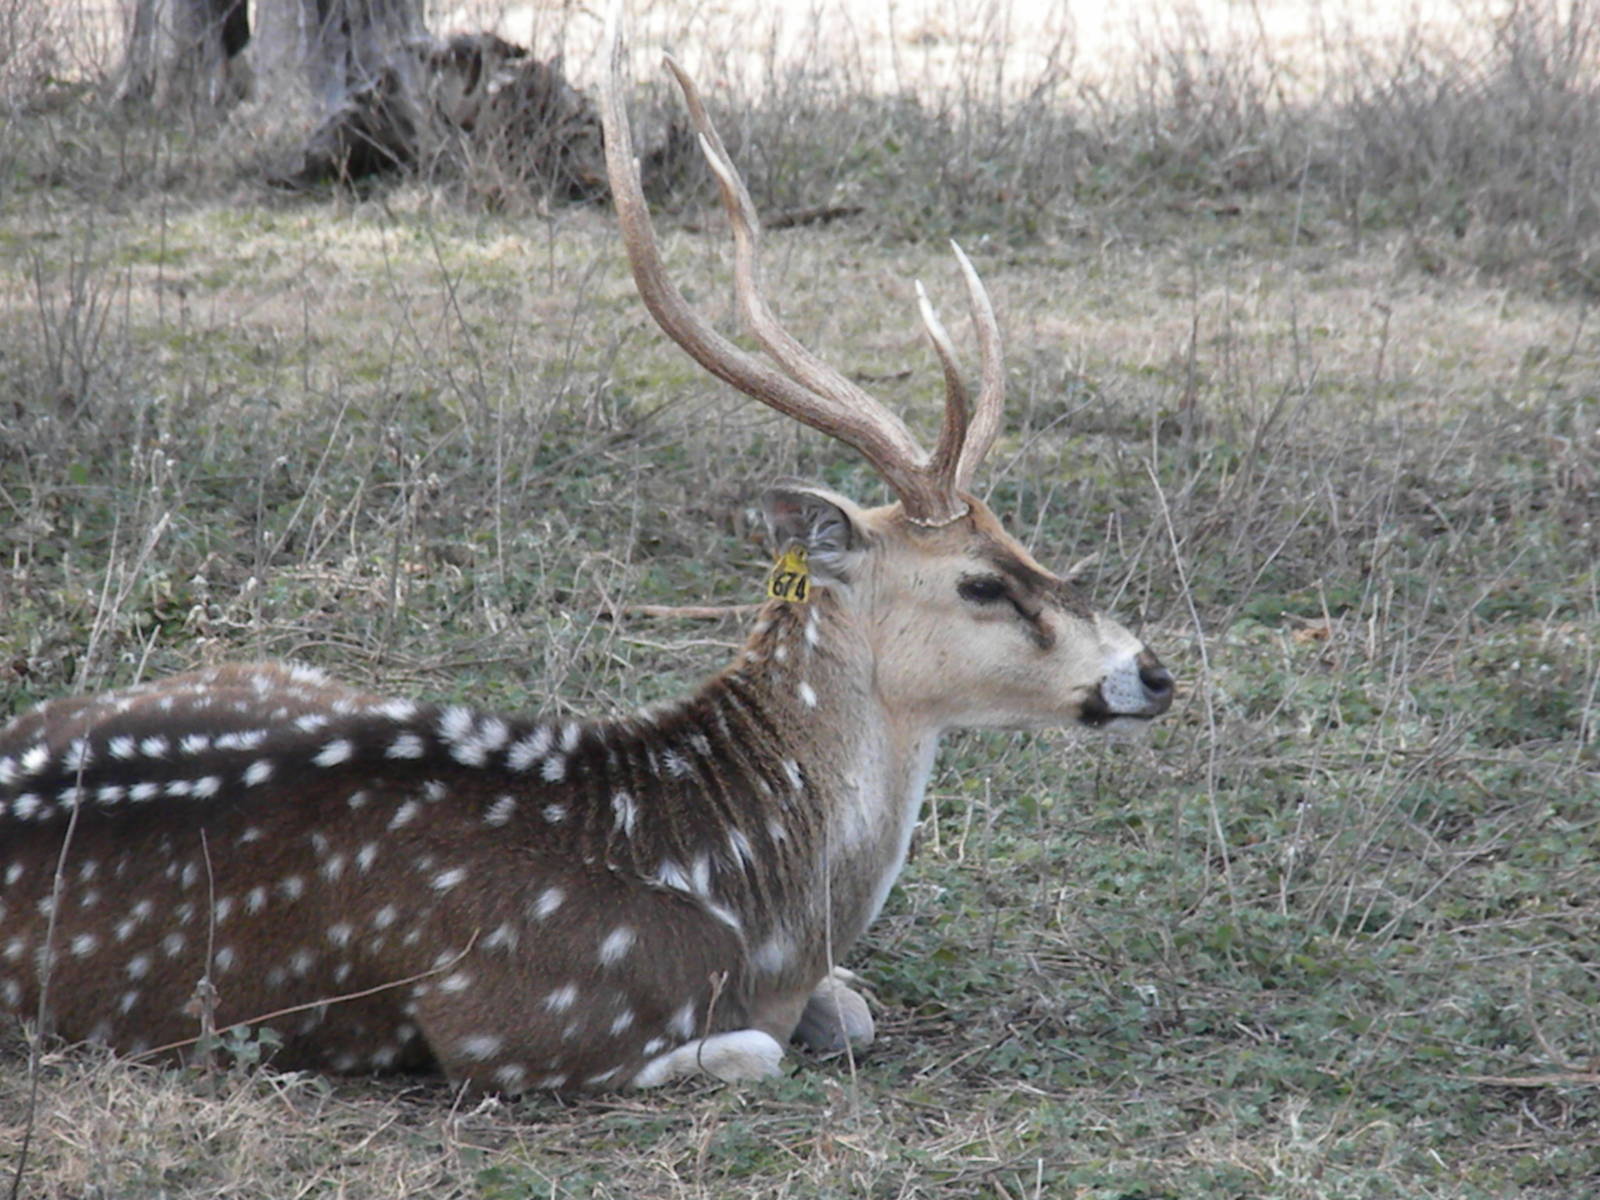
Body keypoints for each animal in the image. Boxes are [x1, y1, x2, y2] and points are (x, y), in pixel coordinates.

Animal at [0, 16, 1173, 1095]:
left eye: (1020, 540)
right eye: (980, 583)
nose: (1149, 671)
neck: (751, 904)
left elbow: (852, 1010)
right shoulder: (505, 1023)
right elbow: (754, 1050)